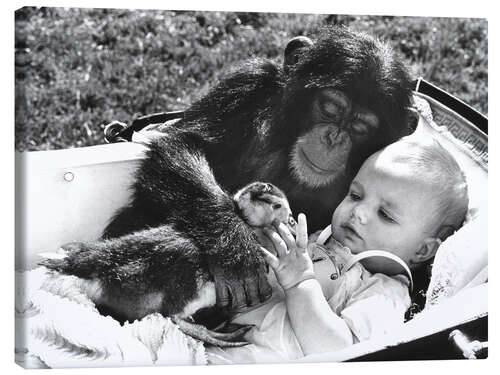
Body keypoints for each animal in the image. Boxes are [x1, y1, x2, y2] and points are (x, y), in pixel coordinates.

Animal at [45, 25, 412, 328]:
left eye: (361, 126)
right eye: (330, 107)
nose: (334, 137)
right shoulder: (247, 83)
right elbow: (186, 143)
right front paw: (236, 248)